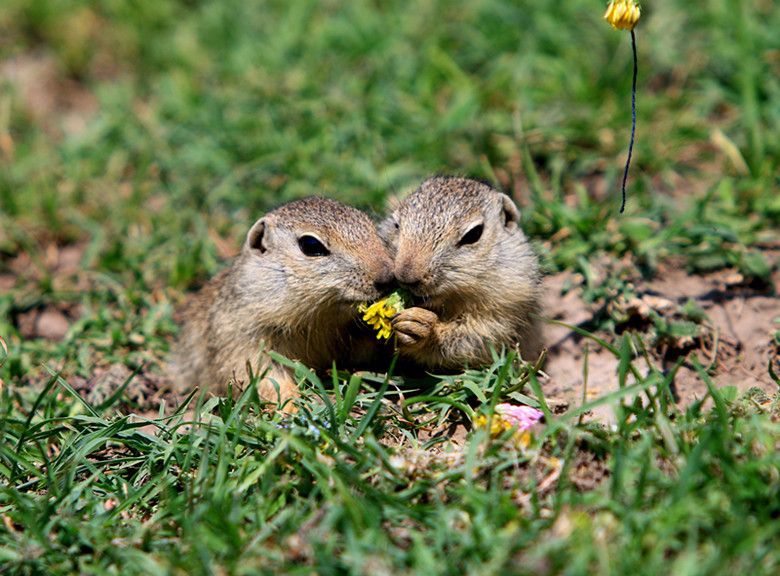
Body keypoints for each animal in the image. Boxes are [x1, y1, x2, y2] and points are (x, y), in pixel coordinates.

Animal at [179, 198, 394, 404]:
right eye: (311, 245)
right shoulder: (243, 338)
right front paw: (295, 406)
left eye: (372, 228)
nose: (387, 277)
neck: (319, 320)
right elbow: (263, 378)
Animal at [382, 178, 544, 372]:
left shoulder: (506, 309)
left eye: (474, 234)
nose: (405, 276)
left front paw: (421, 326)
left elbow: (476, 339)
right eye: (396, 224)